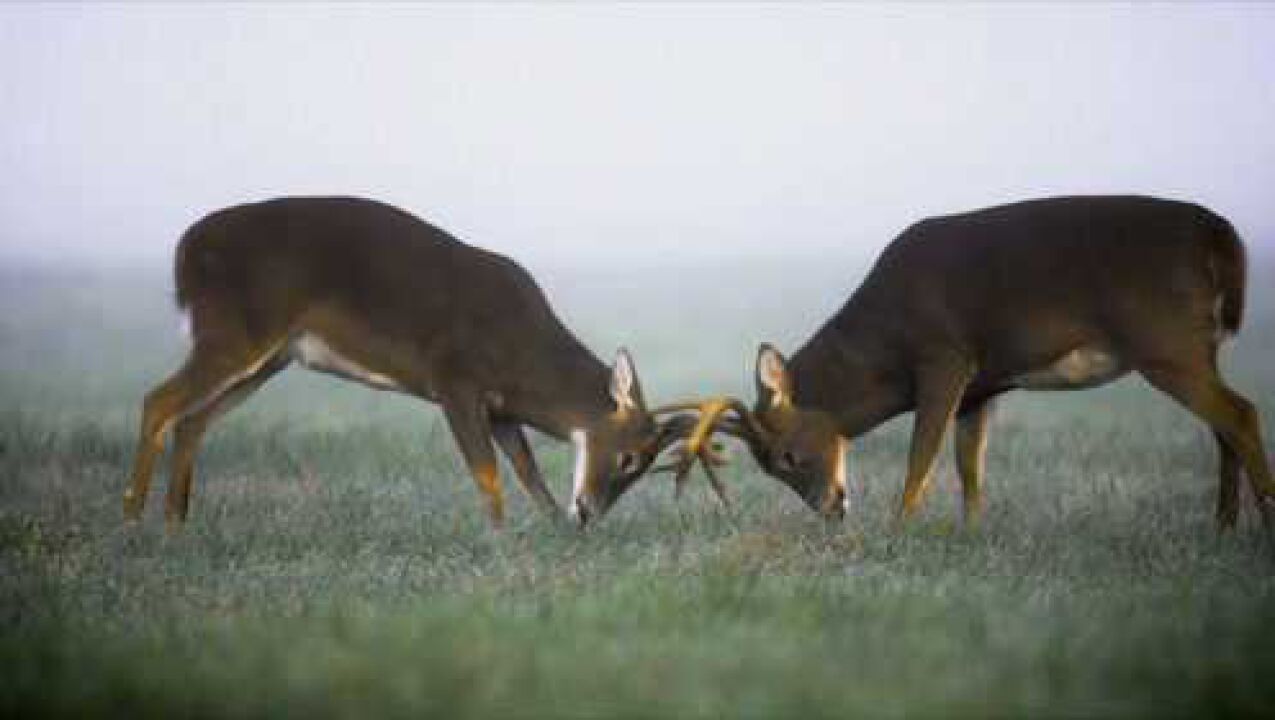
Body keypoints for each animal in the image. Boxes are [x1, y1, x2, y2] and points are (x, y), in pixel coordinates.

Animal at [119, 193, 698, 530]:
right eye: (629, 458)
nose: (588, 514)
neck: (526, 356)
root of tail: (184, 252)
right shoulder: (454, 380)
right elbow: (486, 471)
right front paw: (500, 538)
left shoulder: (501, 406)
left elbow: (526, 469)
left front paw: (553, 529)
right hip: (235, 333)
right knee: (157, 401)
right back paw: (132, 521)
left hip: (267, 357)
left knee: (191, 420)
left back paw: (176, 522)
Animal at [657, 194, 1264, 527]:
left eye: (785, 456)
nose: (831, 508)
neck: (884, 343)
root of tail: (1218, 235)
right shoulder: (983, 386)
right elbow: (970, 466)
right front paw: (971, 531)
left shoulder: (944, 355)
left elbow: (921, 457)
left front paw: (899, 530)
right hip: (1197, 344)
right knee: (1223, 424)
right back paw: (1224, 525)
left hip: (1164, 340)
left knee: (1240, 413)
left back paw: (1263, 518)